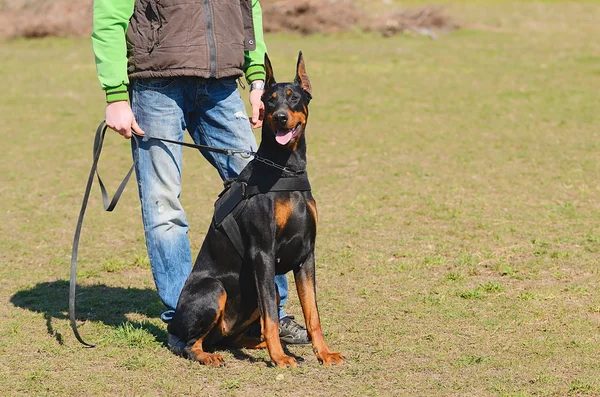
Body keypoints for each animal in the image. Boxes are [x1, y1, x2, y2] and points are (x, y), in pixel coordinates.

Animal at [168, 53, 346, 368]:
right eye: (270, 101)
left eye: (294, 97)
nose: (280, 117)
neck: (285, 168)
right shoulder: (262, 252)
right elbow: (272, 319)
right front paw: (280, 358)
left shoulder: (307, 254)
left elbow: (312, 313)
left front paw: (323, 353)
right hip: (216, 289)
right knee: (189, 344)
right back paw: (211, 355)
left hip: (266, 291)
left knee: (234, 336)